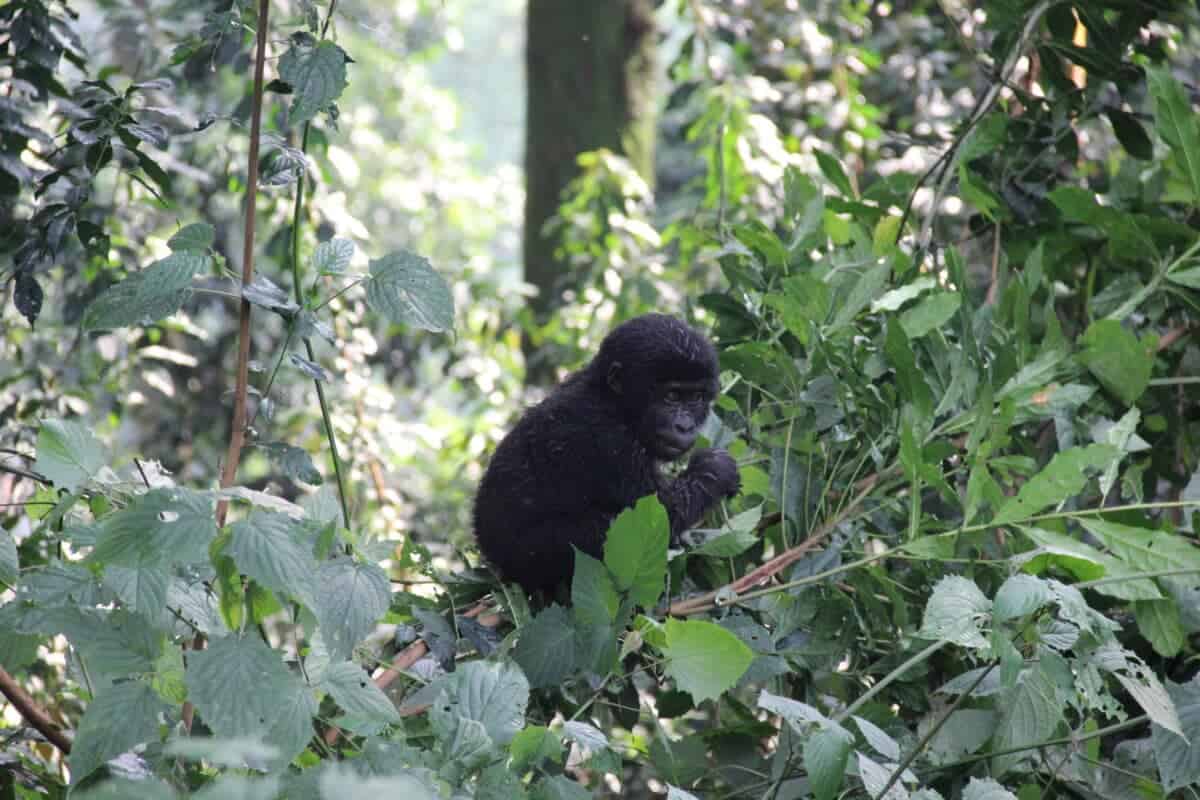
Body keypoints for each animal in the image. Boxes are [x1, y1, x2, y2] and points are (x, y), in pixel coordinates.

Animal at [470, 316, 734, 597]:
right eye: (671, 396)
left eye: (695, 397)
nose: (684, 426)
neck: (611, 399)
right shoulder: (607, 439)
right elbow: (661, 511)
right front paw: (717, 468)